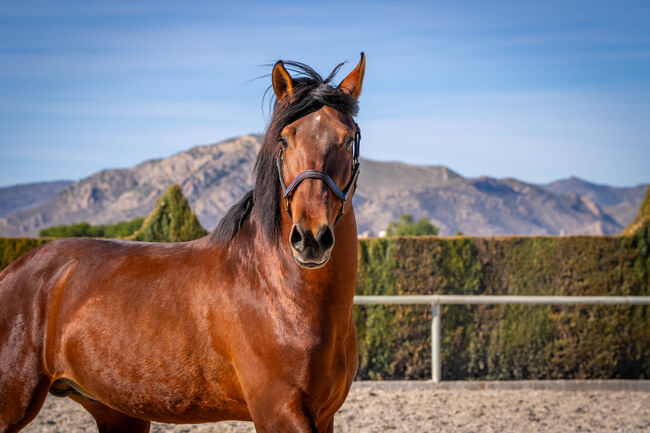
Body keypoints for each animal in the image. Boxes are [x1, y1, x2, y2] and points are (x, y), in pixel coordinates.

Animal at [0, 52, 364, 430]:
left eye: (348, 138)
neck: (281, 292)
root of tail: (14, 271)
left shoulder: (324, 416)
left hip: (117, 412)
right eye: (285, 139)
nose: (310, 237)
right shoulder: (278, 413)